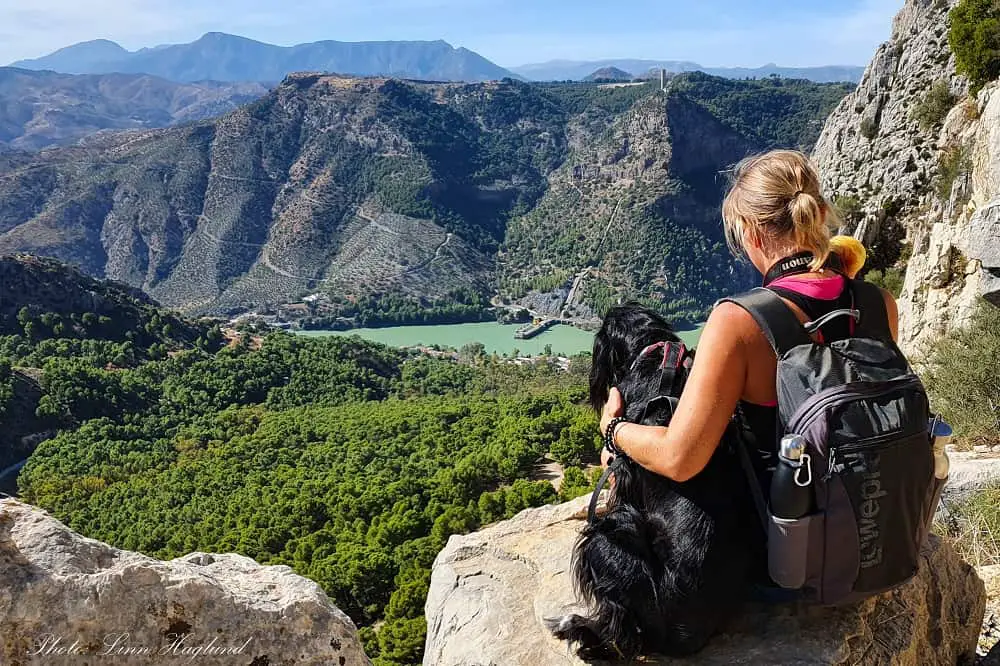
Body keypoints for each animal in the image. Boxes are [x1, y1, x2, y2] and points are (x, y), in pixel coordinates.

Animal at [548, 304, 764, 660]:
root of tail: (686, 636)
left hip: (606, 539)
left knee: (623, 634)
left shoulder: (623, 467)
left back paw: (582, 631)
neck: (653, 353)